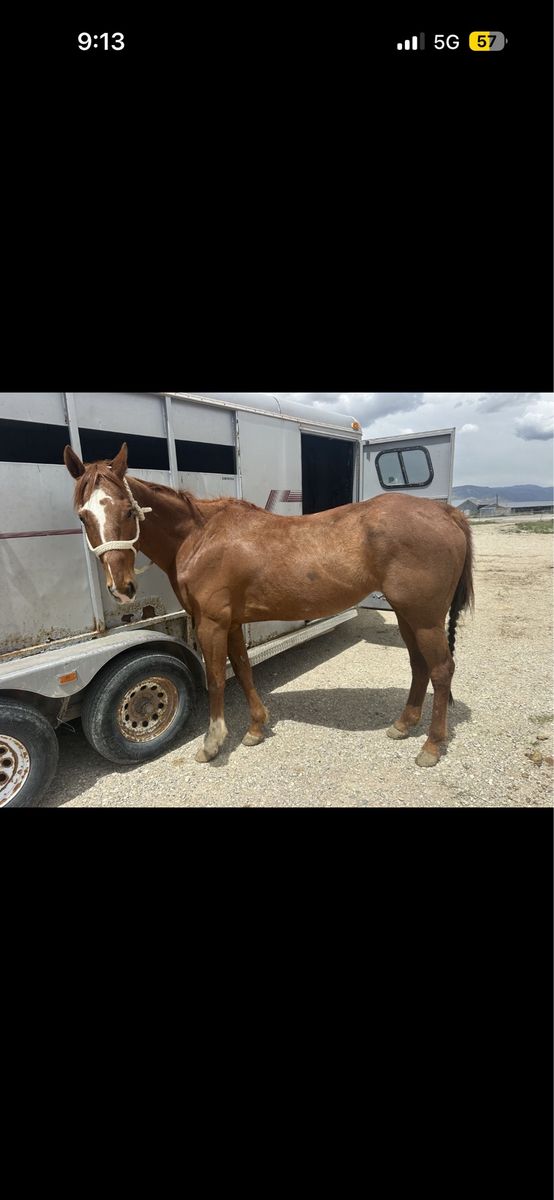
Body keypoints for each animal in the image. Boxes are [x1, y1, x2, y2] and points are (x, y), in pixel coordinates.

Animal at [64, 442, 474, 768]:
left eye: (127, 511)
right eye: (84, 516)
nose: (122, 588)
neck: (200, 536)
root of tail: (447, 513)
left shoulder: (211, 622)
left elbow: (216, 678)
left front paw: (212, 743)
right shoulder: (230, 622)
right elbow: (244, 670)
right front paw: (256, 728)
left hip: (424, 618)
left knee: (441, 670)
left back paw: (431, 746)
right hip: (409, 615)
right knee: (419, 665)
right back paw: (403, 725)